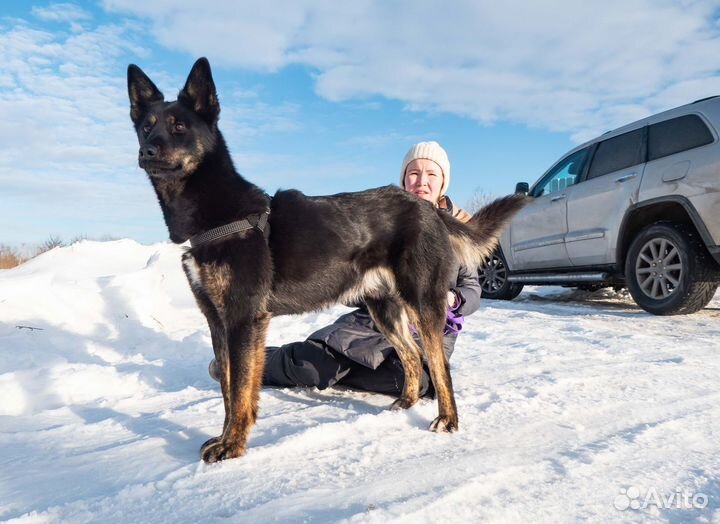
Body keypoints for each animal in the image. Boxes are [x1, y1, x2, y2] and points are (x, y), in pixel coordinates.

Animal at [126, 57, 524, 462]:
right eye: (146, 127)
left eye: (179, 126)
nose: (147, 152)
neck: (218, 214)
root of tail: (428, 209)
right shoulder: (218, 322)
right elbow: (227, 388)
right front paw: (225, 439)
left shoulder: (243, 320)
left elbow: (239, 392)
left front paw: (233, 445)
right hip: (384, 310)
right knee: (412, 355)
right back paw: (406, 404)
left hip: (423, 303)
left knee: (439, 365)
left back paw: (448, 420)